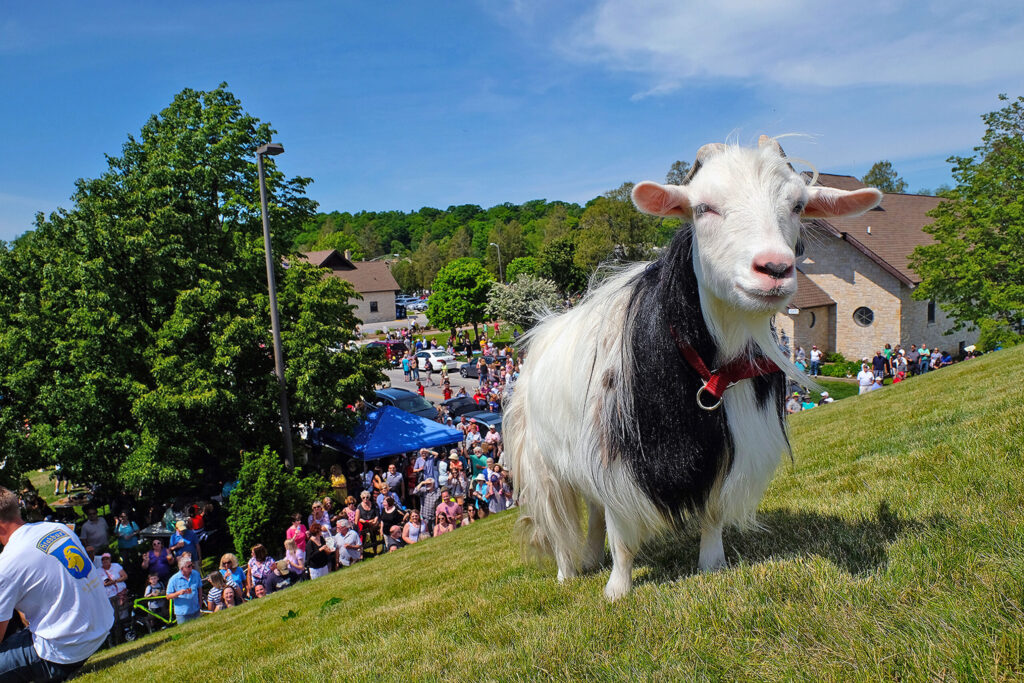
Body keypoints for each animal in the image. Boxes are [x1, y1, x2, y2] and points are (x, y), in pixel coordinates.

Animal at [504, 137, 882, 600]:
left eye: (797, 205)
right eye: (704, 208)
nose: (774, 269)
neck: (703, 368)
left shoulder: (731, 442)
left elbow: (713, 511)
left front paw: (712, 564)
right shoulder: (616, 458)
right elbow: (622, 533)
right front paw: (617, 591)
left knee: (592, 509)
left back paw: (591, 558)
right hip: (541, 460)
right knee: (558, 518)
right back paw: (568, 573)